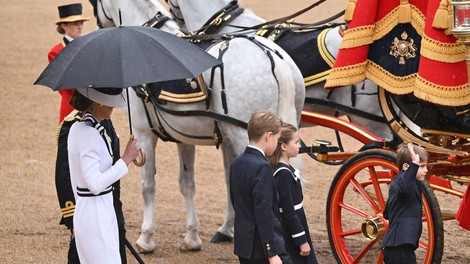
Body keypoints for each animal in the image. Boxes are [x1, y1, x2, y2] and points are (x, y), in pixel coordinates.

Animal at [90, 0, 306, 252]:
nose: (99, 26)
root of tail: (272, 58)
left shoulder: (143, 135)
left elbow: (148, 185)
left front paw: (146, 238)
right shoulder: (183, 137)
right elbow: (187, 184)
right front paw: (192, 237)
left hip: (244, 137)